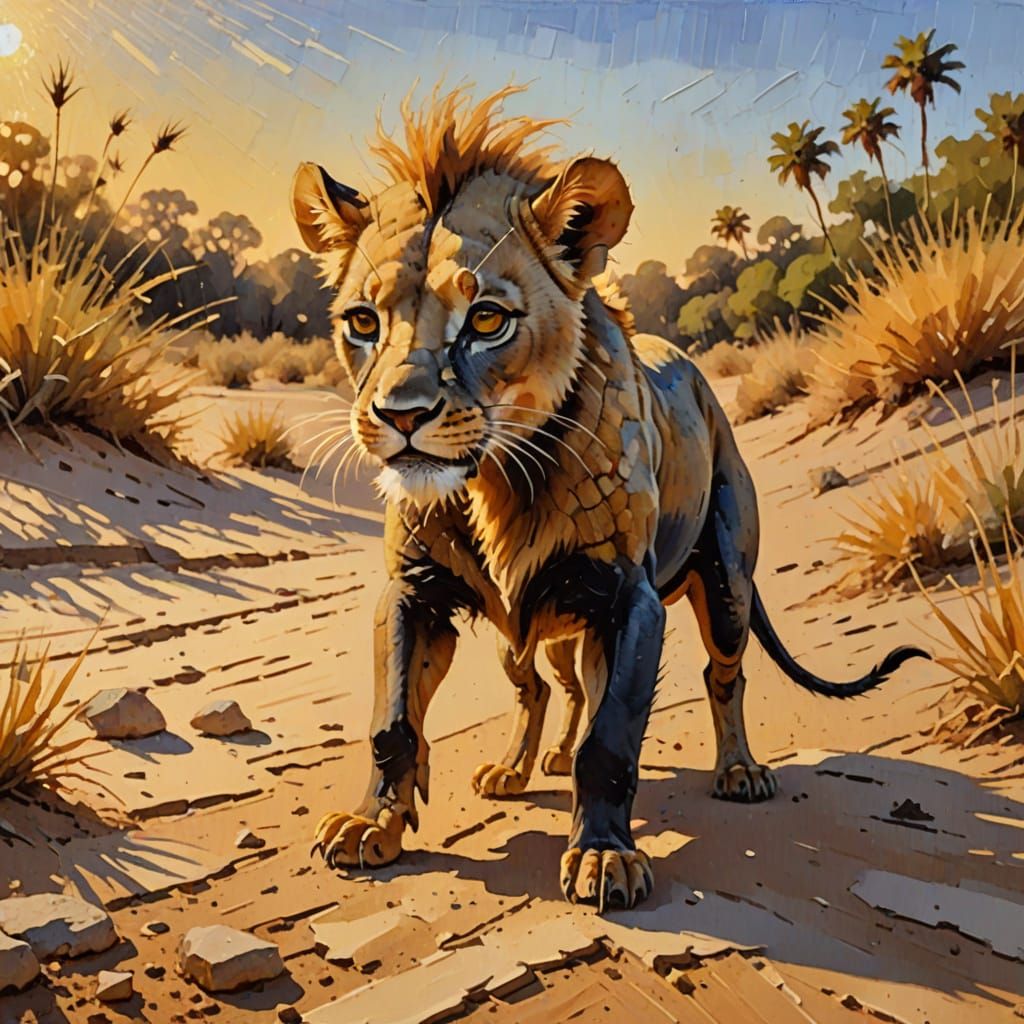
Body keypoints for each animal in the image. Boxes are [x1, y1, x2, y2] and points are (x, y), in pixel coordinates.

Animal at [289, 84, 927, 911]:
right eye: (363, 322)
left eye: (487, 319)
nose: (400, 415)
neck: (500, 480)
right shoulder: (414, 592)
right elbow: (393, 721)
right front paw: (371, 826)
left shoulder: (627, 599)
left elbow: (612, 735)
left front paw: (603, 857)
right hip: (535, 631)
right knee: (541, 691)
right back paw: (520, 767)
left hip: (725, 588)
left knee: (722, 676)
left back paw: (740, 772)